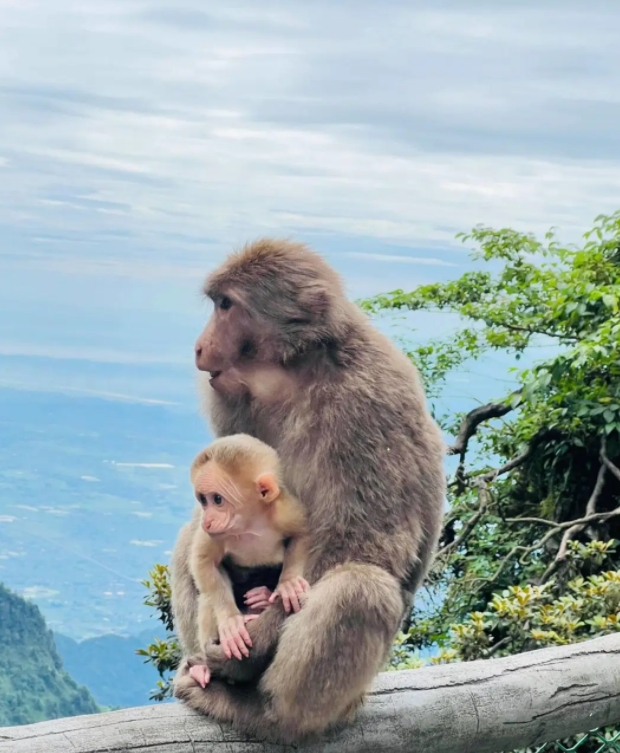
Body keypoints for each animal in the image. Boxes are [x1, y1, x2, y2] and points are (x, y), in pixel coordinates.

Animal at [185, 432, 308, 684]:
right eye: (203, 500)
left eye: (217, 499)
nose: (206, 521)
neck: (249, 524)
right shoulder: (216, 535)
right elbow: (204, 562)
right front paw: (231, 621)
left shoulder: (283, 511)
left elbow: (301, 533)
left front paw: (288, 583)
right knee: (209, 598)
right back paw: (203, 666)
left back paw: (264, 597)